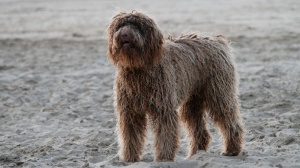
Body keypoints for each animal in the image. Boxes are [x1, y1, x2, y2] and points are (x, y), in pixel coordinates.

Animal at [107, 11, 244, 162]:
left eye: (137, 25)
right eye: (120, 26)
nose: (124, 34)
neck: (138, 69)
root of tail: (217, 40)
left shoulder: (163, 109)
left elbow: (165, 134)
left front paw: (163, 158)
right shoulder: (130, 111)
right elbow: (130, 136)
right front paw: (129, 158)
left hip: (219, 94)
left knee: (229, 120)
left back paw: (232, 149)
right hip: (192, 103)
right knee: (200, 131)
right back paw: (195, 154)